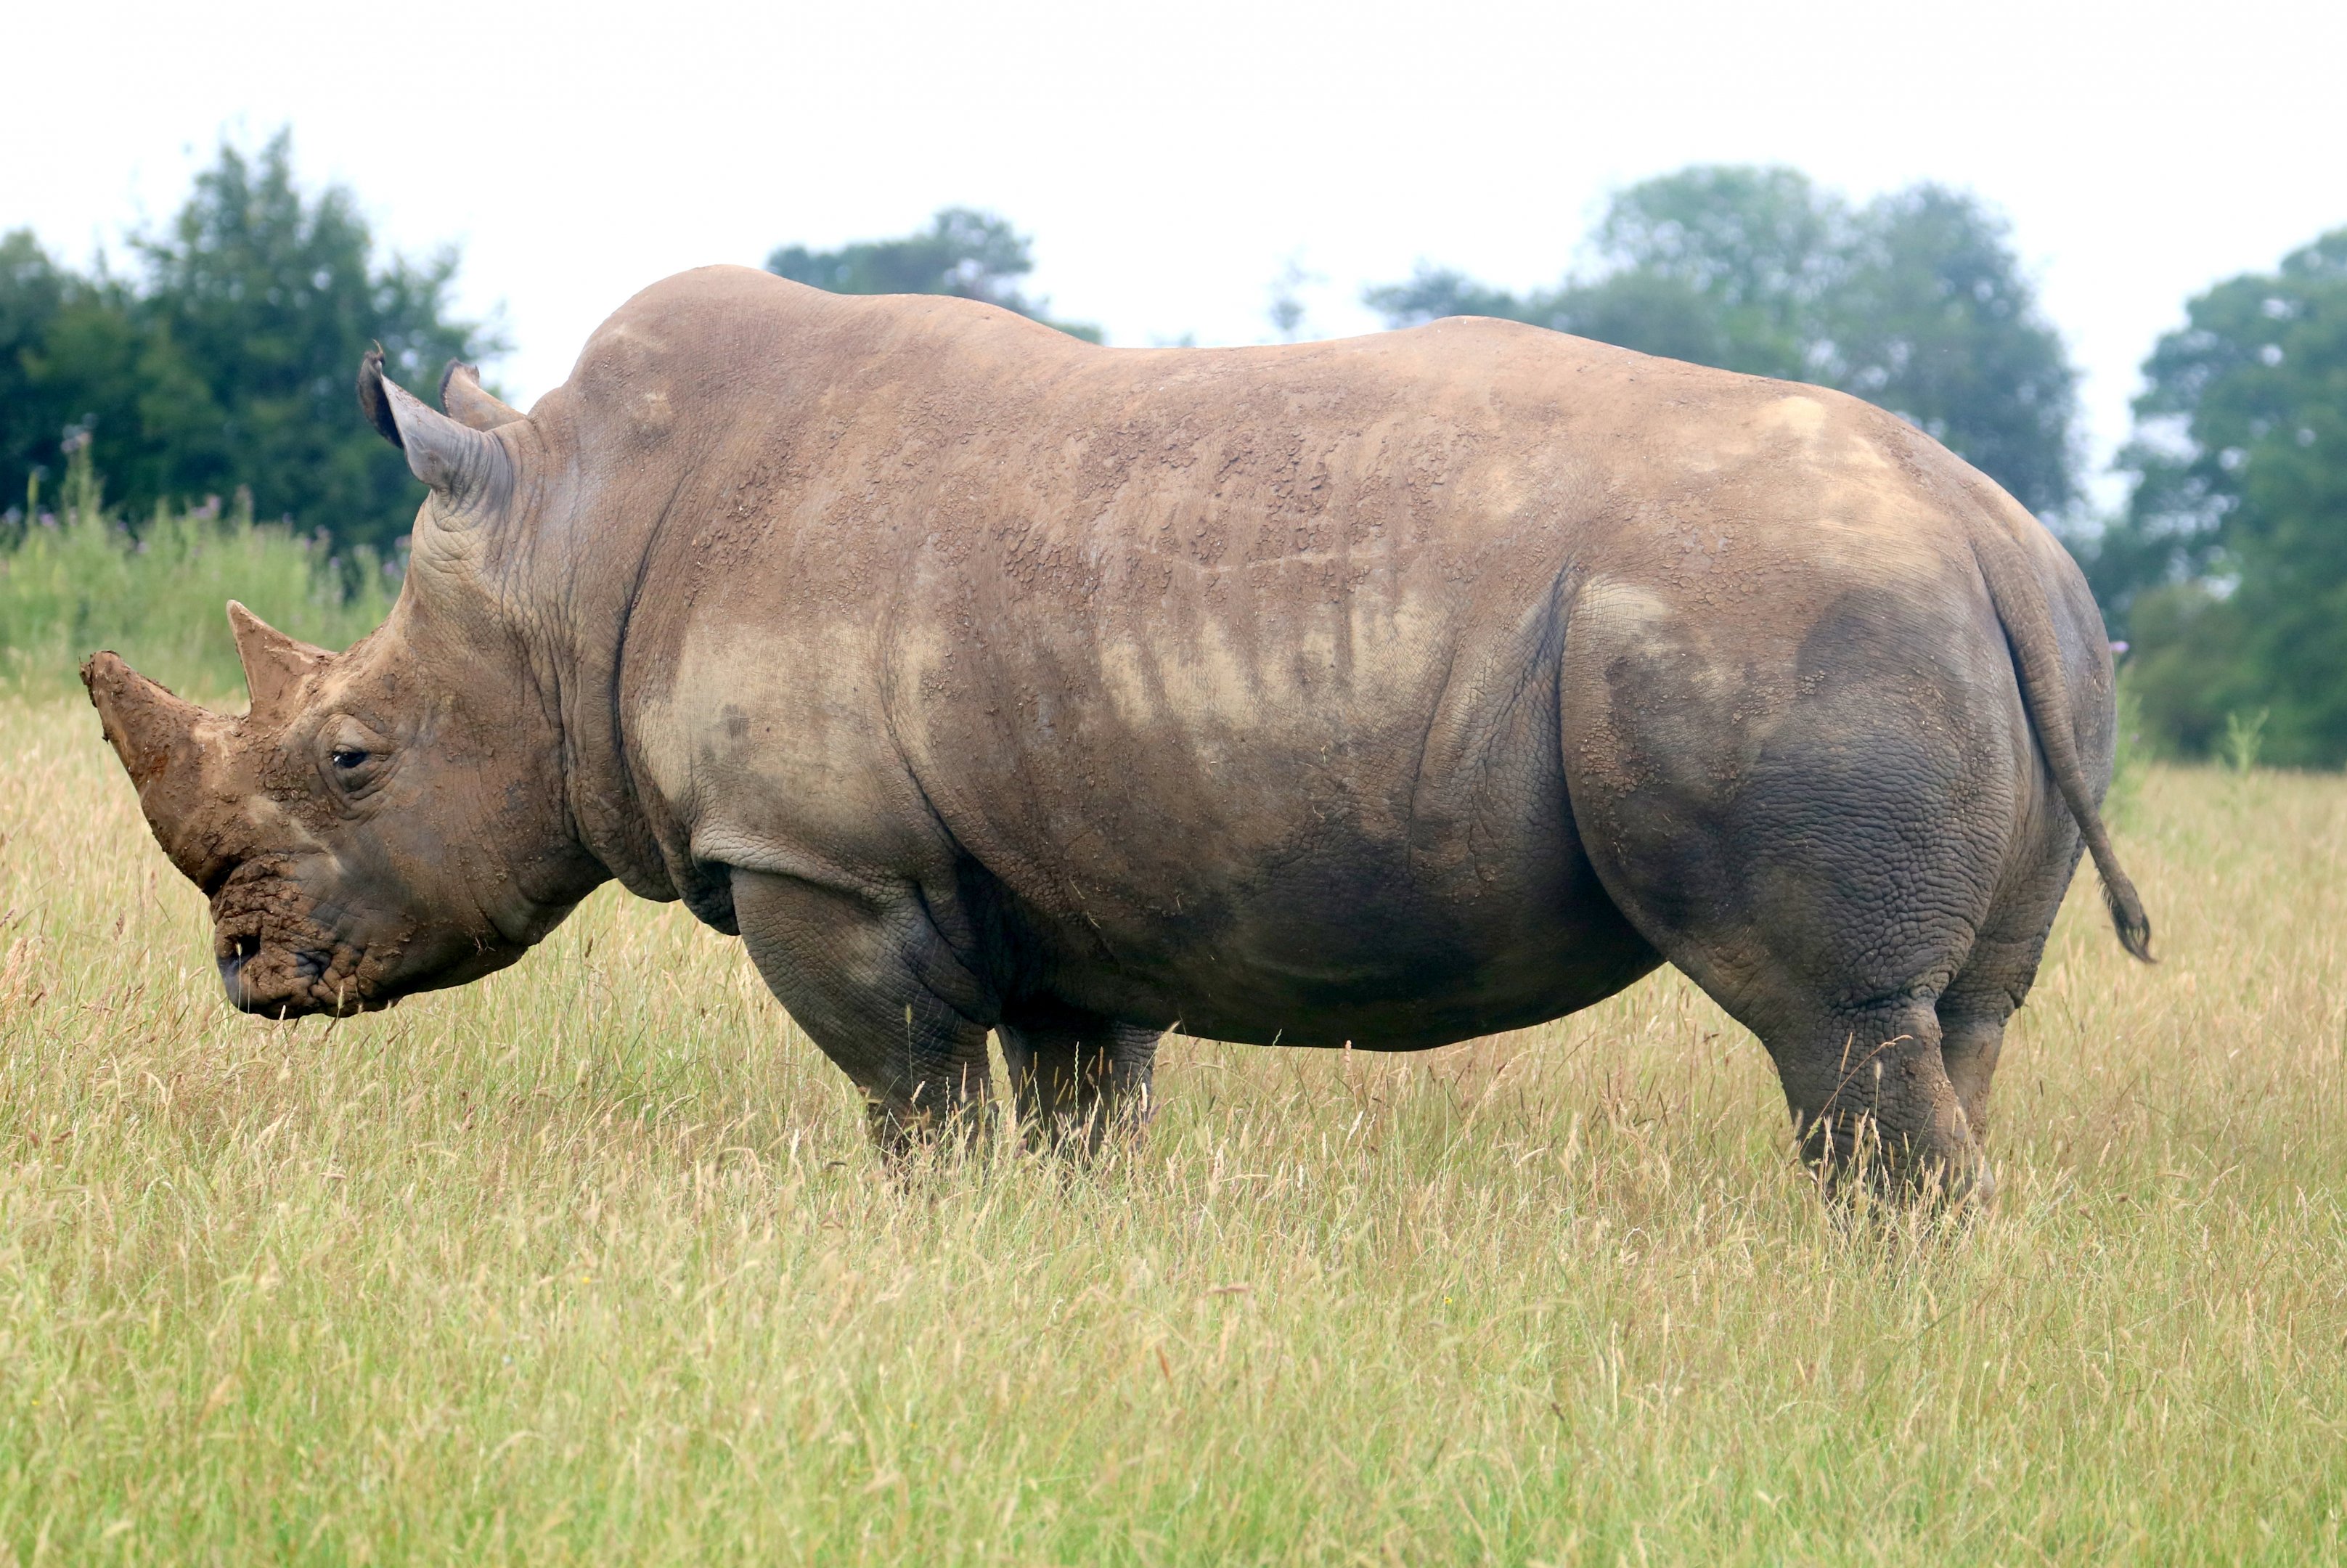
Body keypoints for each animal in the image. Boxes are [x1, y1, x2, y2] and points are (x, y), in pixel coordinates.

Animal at [83, 265, 2149, 1196]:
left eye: (353, 758)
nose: (250, 975)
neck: (571, 550)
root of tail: (1983, 523)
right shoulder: (1061, 883)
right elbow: (1074, 1113)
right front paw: (1057, 1256)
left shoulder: (823, 861)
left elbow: (908, 1099)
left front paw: (918, 1238)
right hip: (1995, 630)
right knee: (1952, 1019)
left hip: (1780, 616)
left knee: (1824, 1016)